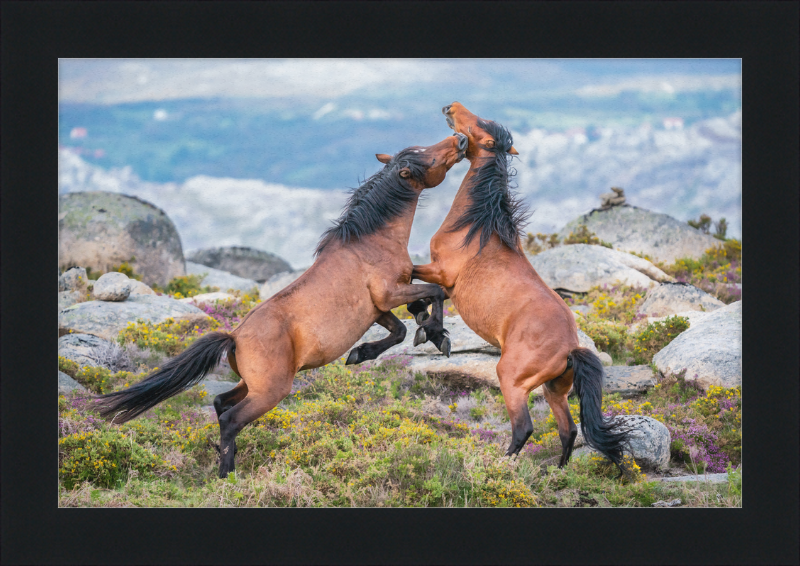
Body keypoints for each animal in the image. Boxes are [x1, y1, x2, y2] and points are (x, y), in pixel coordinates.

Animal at [95, 133, 468, 480]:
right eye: (427, 156)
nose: (460, 139)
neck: (371, 242)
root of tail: (234, 337)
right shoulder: (389, 295)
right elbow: (435, 293)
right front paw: (438, 335)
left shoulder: (378, 308)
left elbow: (403, 327)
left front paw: (364, 352)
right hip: (270, 391)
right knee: (230, 418)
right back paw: (227, 474)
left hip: (251, 385)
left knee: (219, 403)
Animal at [410, 103, 628, 474]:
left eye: (479, 126)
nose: (451, 108)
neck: (477, 228)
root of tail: (570, 349)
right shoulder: (446, 283)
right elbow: (428, 295)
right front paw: (433, 334)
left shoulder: (441, 272)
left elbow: (417, 284)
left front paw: (431, 332)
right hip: (555, 391)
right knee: (569, 430)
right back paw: (556, 472)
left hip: (511, 379)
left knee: (524, 427)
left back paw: (498, 466)